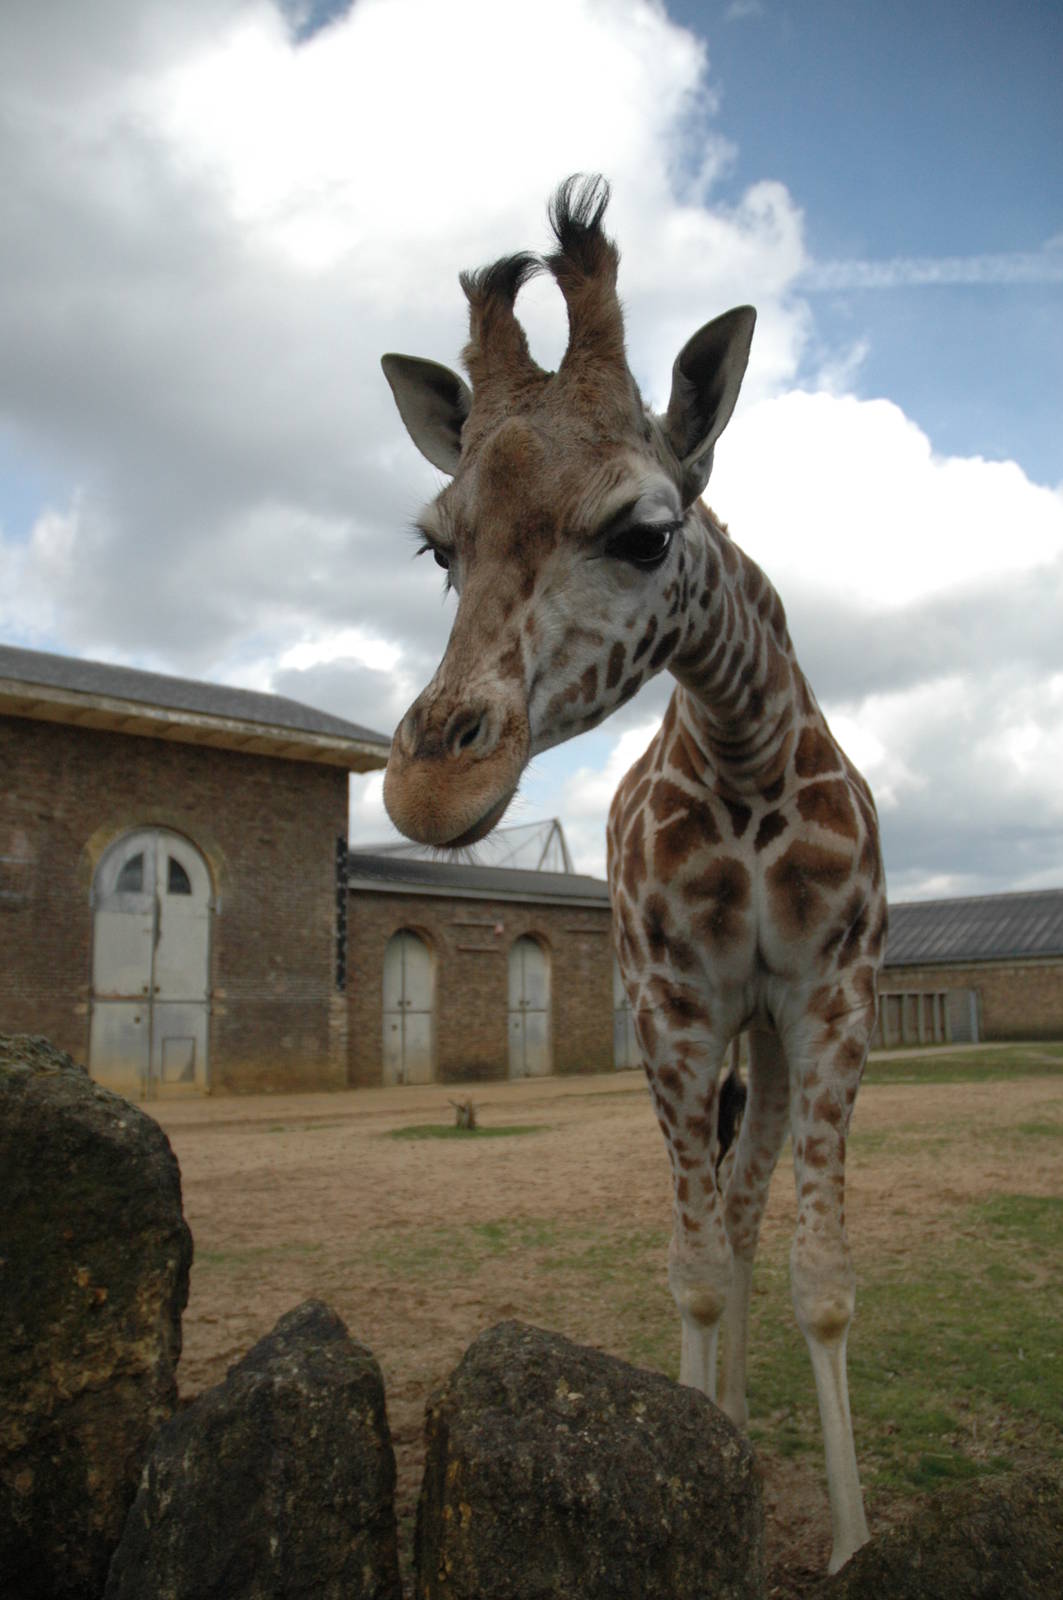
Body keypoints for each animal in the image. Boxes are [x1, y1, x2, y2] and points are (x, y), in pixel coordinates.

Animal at [380, 177, 887, 1574]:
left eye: (646, 532)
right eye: (438, 549)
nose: (429, 787)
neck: (746, 753)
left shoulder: (831, 1000)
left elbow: (821, 1279)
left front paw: (848, 1543)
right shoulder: (667, 1006)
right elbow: (693, 1267)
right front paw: (701, 1461)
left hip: (768, 1032)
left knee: (749, 1201)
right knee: (717, 1216)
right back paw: (722, 1420)